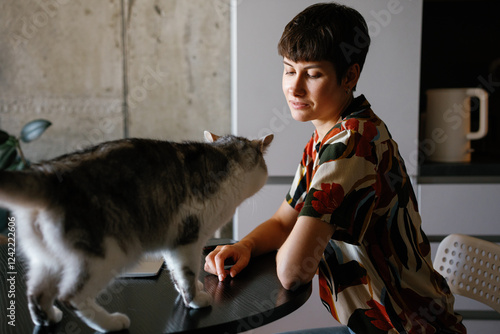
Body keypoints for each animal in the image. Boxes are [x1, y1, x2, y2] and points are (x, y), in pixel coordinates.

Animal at [0, 130, 274, 332]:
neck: (225, 159)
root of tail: (49, 173)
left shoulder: (173, 244)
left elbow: (176, 274)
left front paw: (191, 290)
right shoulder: (188, 239)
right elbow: (186, 274)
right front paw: (195, 300)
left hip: (46, 262)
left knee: (36, 294)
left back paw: (48, 319)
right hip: (106, 256)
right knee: (70, 297)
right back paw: (110, 323)